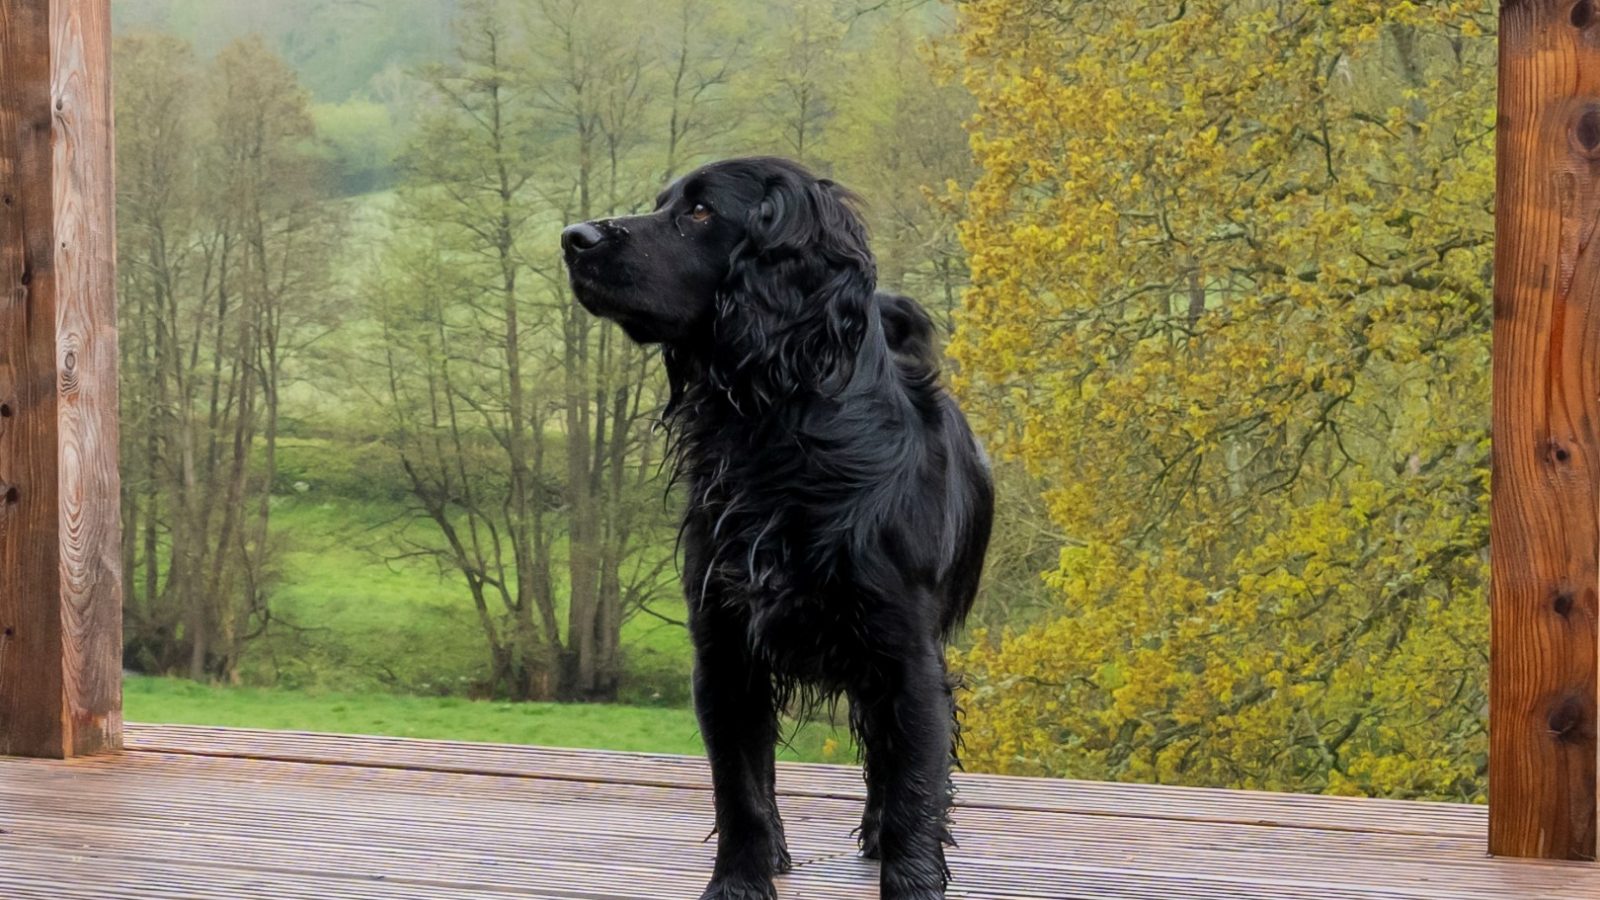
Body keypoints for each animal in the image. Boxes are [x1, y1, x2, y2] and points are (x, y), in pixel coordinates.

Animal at [560, 157, 985, 890]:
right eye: (662, 203)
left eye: (700, 211)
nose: (572, 237)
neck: (782, 436)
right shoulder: (726, 651)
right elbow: (742, 788)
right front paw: (740, 879)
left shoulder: (908, 659)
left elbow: (915, 789)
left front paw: (909, 873)